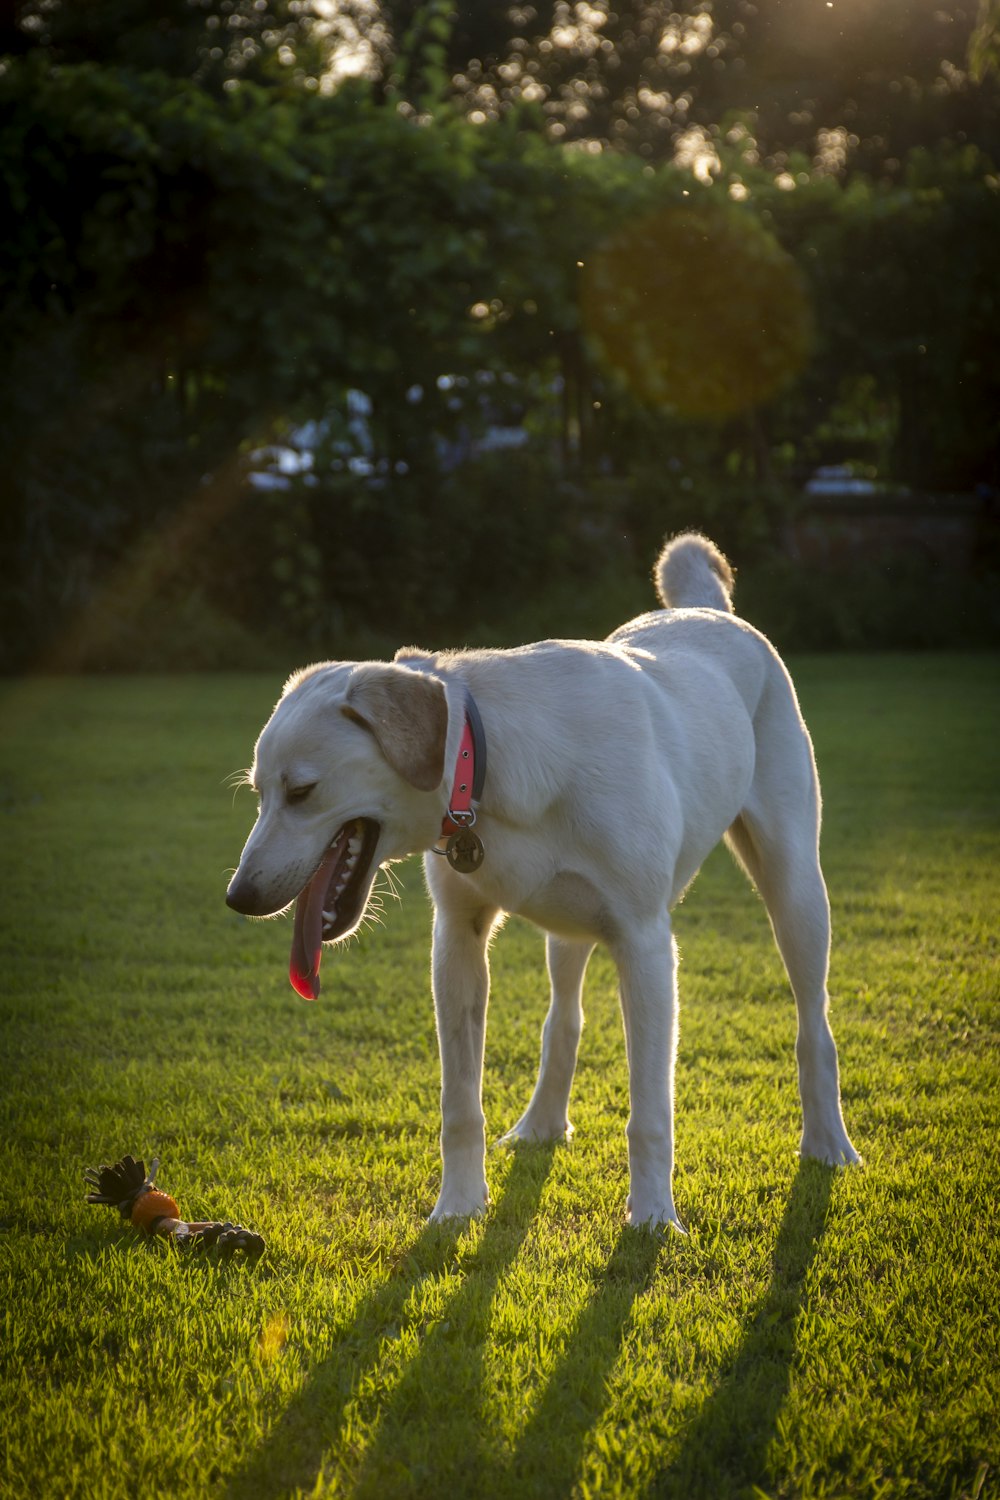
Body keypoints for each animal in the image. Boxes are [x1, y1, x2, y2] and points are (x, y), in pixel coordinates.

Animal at [226, 534, 863, 1224]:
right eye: (259, 794)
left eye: (302, 791)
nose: (239, 897)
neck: (488, 763)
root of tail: (709, 610)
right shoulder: (457, 939)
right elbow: (460, 1105)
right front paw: (458, 1207)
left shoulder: (645, 944)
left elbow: (651, 1112)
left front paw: (653, 1217)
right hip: (569, 928)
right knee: (564, 1020)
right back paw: (541, 1125)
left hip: (795, 890)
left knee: (813, 1023)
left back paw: (828, 1142)